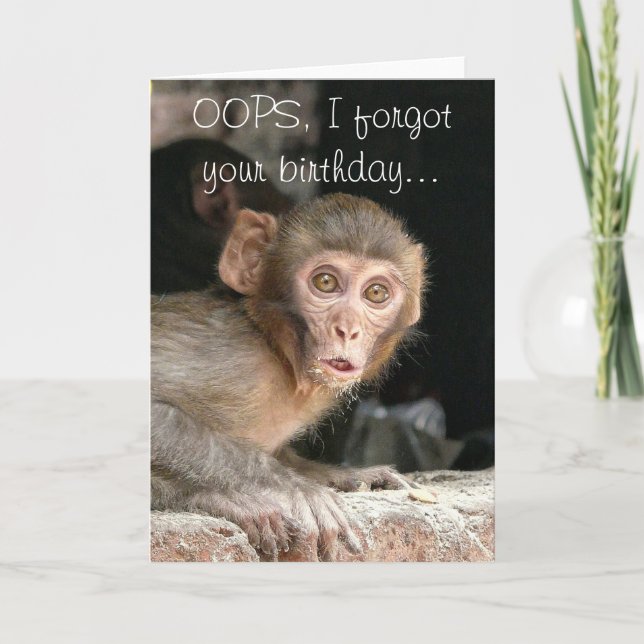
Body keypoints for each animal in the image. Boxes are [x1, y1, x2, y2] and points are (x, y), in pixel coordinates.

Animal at [151, 193, 427, 561]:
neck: (278, 353)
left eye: (376, 293)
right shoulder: (231, 357)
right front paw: (296, 489)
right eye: (325, 283)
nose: (348, 329)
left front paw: (349, 475)